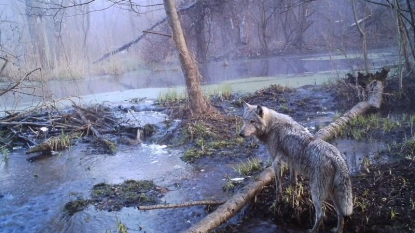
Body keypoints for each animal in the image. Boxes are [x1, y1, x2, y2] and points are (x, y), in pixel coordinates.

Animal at [239, 103, 352, 233]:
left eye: (252, 121)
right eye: (244, 120)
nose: (240, 134)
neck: (271, 126)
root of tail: (336, 157)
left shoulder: (276, 163)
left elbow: (278, 188)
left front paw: (277, 203)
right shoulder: (292, 162)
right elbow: (293, 181)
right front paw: (293, 197)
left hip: (316, 193)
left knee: (321, 214)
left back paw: (312, 230)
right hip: (332, 193)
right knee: (340, 214)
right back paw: (337, 230)